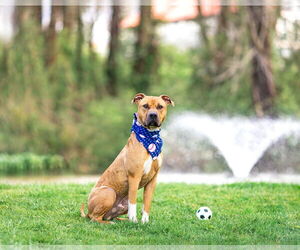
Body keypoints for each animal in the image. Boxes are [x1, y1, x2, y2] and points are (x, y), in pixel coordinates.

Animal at [81, 93, 175, 224]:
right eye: (145, 106)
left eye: (160, 106)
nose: (153, 115)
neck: (149, 137)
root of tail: (88, 212)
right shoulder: (134, 177)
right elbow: (133, 202)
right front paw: (134, 220)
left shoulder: (152, 180)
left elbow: (147, 203)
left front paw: (145, 221)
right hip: (109, 192)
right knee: (95, 218)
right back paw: (111, 223)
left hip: (122, 205)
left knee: (109, 215)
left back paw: (121, 220)